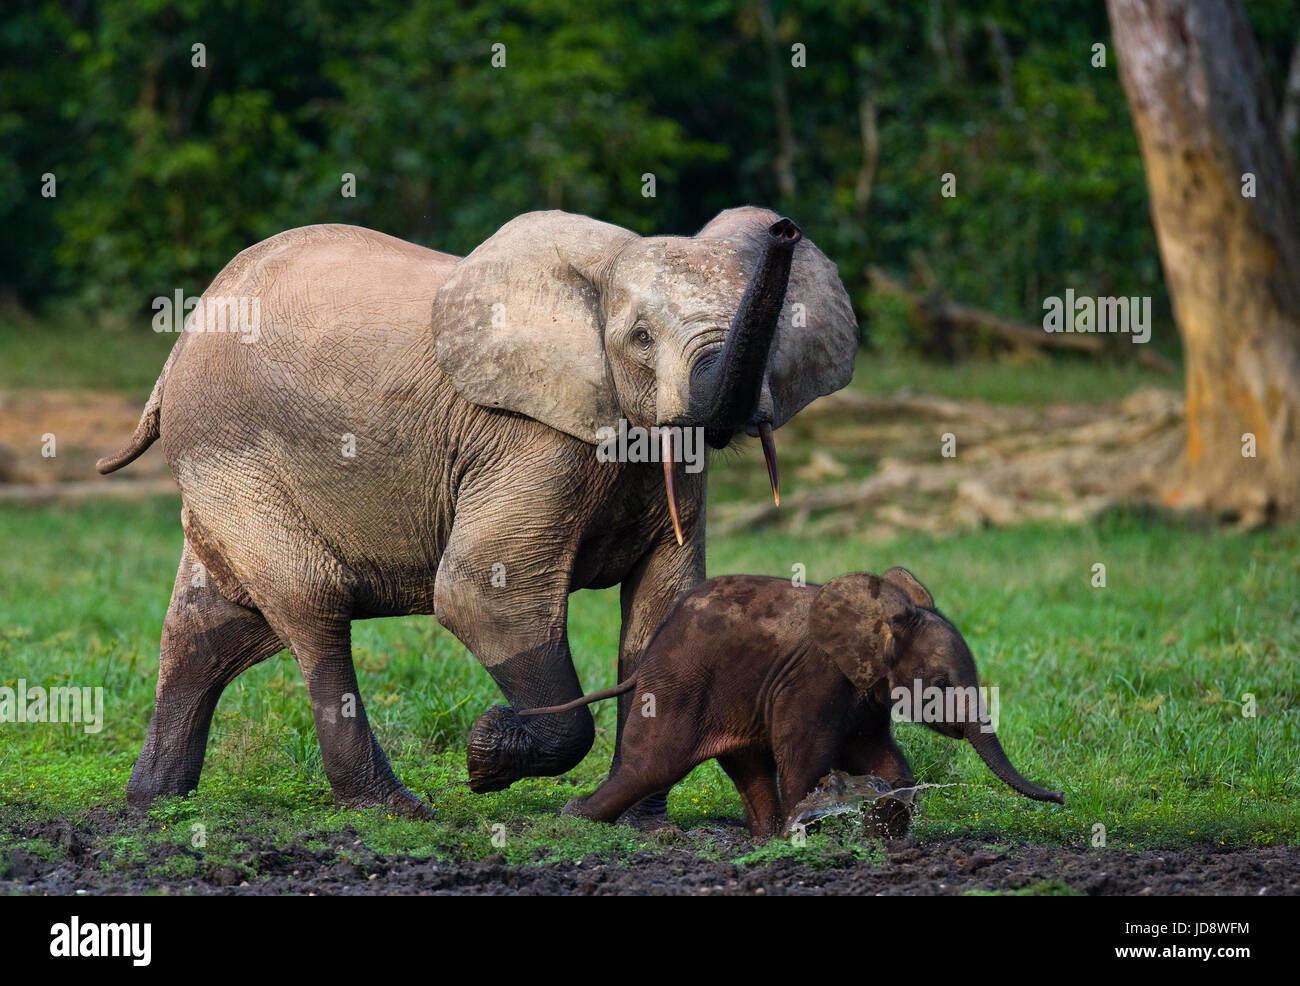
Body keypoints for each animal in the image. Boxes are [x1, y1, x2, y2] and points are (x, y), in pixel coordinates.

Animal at [97, 207, 858, 819]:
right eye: (640, 337)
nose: (783, 229)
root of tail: (178, 345)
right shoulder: (528, 438)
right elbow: (483, 595)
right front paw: (485, 757)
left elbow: (664, 609)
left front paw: (639, 823)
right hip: (232, 454)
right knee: (313, 604)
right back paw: (395, 810)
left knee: (207, 627)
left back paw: (153, 805)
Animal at [524, 568, 1064, 837]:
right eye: (939, 683)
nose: (1061, 797)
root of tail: (651, 650)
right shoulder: (815, 677)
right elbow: (806, 750)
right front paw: (806, 835)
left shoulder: (865, 690)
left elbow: (882, 757)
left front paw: (884, 837)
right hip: (677, 684)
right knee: (654, 764)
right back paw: (573, 819)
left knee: (748, 764)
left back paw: (763, 839)